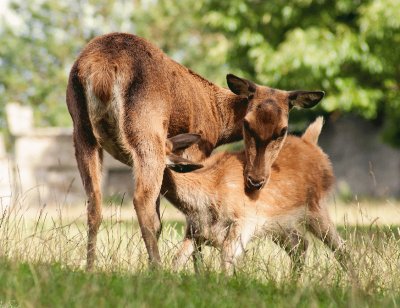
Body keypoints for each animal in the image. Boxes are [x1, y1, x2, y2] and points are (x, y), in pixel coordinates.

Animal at [66, 31, 324, 270]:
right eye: (247, 124)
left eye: (282, 130)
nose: (256, 180)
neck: (217, 123)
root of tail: (101, 71)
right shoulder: (197, 149)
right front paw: (198, 271)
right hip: (146, 130)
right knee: (142, 202)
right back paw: (157, 270)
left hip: (82, 129)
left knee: (94, 203)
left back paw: (91, 270)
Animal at [162, 117, 346, 272]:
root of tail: (311, 144)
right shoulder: (194, 232)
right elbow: (177, 260)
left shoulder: (244, 222)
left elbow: (226, 262)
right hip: (277, 223)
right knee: (301, 244)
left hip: (316, 207)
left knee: (340, 246)